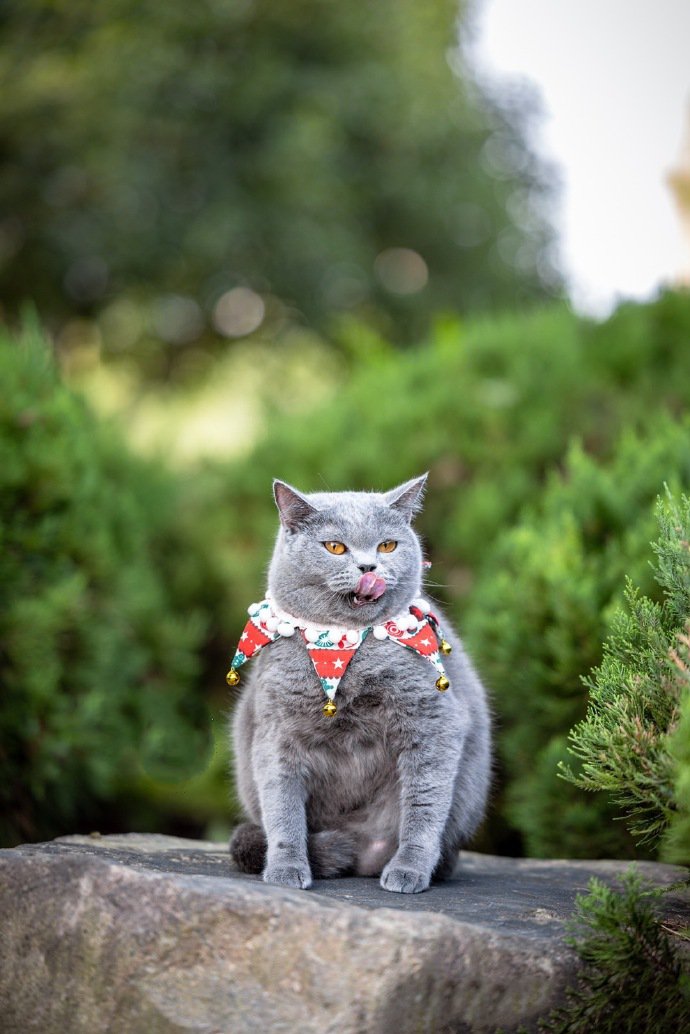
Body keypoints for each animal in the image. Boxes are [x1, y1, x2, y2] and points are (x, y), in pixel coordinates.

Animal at [230, 473, 490, 889]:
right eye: (335, 547)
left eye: (387, 545)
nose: (369, 566)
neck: (345, 649)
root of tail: (361, 849)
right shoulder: (276, 731)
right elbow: (282, 807)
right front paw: (286, 869)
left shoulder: (433, 722)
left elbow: (424, 803)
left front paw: (409, 870)